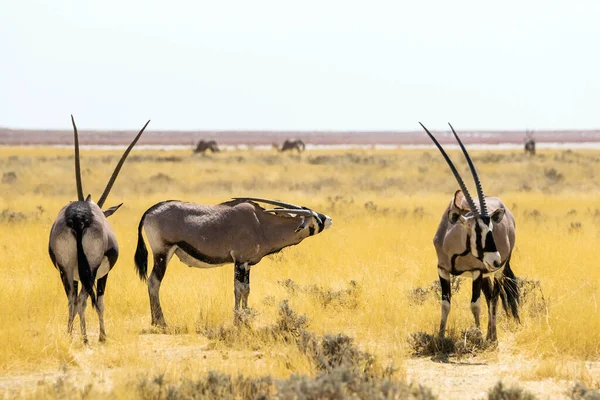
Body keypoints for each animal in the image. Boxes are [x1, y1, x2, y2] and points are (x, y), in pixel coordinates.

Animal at [50, 115, 151, 344]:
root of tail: (79, 216)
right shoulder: (103, 275)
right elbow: (101, 302)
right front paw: (102, 336)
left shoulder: (74, 274)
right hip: (92, 269)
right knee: (83, 300)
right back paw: (87, 338)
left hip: (66, 270)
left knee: (72, 299)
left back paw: (71, 335)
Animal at [134, 196, 332, 324]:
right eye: (315, 217)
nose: (328, 218)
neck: (261, 224)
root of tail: (150, 211)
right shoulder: (240, 261)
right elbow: (238, 289)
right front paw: (238, 320)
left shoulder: (247, 264)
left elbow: (247, 290)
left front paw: (246, 318)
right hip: (162, 253)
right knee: (154, 282)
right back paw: (160, 322)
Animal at [420, 122, 516, 340]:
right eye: (476, 230)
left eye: (491, 229)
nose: (495, 260)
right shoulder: (442, 270)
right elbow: (445, 304)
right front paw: (440, 337)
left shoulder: (476, 272)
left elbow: (475, 305)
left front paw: (477, 336)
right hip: (488, 273)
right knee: (490, 296)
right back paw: (490, 334)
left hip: (496, 272)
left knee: (494, 297)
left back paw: (492, 337)